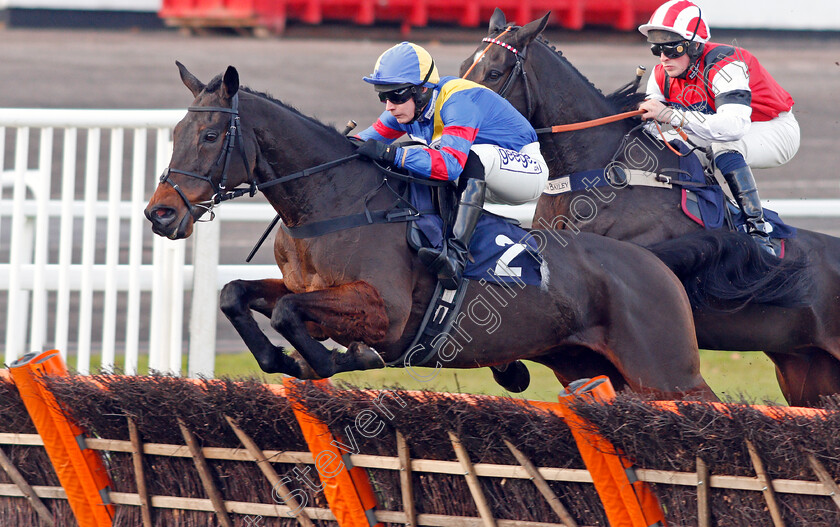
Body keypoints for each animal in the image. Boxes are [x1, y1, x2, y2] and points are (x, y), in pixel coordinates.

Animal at [144, 64, 768, 398]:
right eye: (174, 132)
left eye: (208, 137)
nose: (161, 214)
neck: (334, 203)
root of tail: (657, 263)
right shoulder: (309, 289)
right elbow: (239, 295)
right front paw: (281, 361)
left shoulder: (385, 311)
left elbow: (292, 317)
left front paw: (333, 361)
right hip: (590, 368)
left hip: (666, 369)